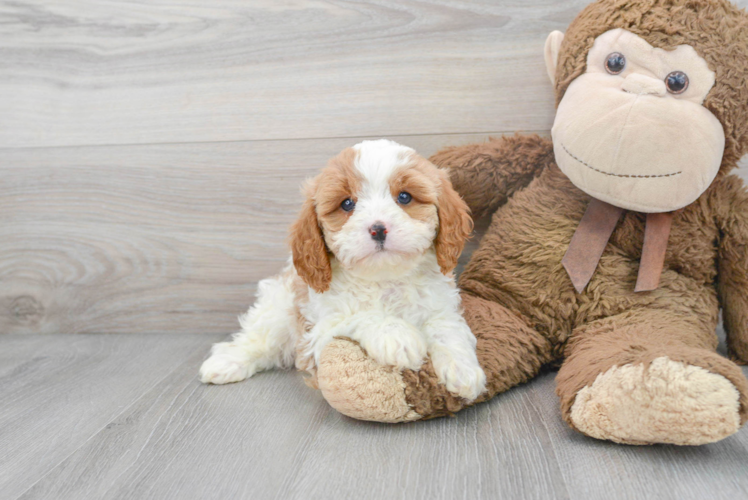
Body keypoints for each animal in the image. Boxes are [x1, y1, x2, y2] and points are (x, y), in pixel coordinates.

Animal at [199, 139, 488, 400]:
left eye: (404, 197)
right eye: (347, 204)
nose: (378, 228)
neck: (383, 279)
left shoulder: (441, 307)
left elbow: (447, 329)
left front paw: (463, 371)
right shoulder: (319, 333)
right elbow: (359, 317)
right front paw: (398, 336)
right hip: (278, 307)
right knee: (260, 339)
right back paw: (225, 363)